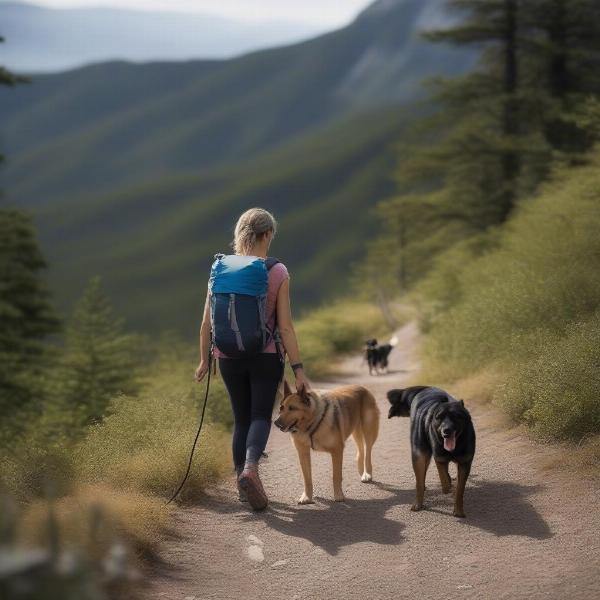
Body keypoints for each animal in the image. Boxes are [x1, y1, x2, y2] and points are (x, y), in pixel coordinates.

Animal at [386, 386, 476, 516]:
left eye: (456, 416)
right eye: (439, 417)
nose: (446, 431)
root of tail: (425, 388)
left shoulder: (464, 464)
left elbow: (459, 489)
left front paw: (458, 510)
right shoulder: (439, 458)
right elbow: (444, 480)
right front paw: (448, 486)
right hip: (419, 456)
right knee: (419, 480)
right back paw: (418, 503)